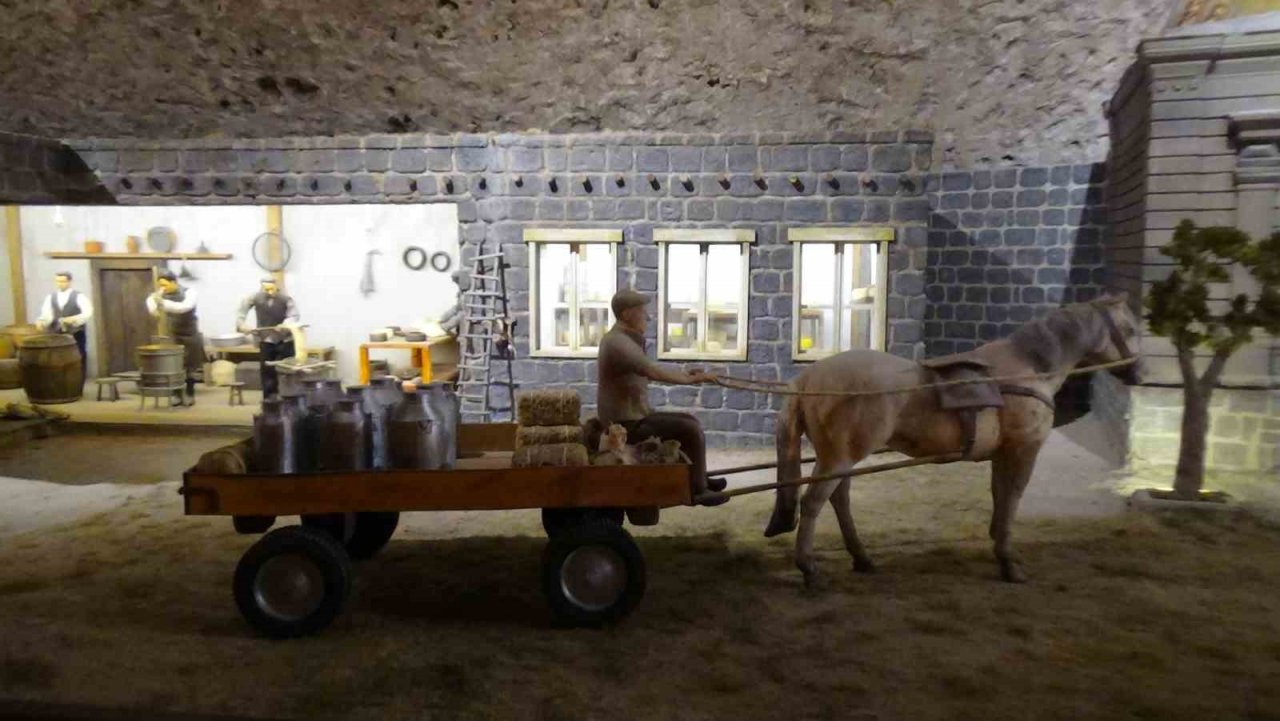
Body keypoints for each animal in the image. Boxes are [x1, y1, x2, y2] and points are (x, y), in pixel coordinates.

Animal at [757, 293, 1141, 586]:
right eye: (1131, 329)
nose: (1139, 372)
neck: (1030, 369)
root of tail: (808, 378)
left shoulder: (1002, 454)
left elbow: (1000, 497)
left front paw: (997, 544)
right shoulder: (1024, 450)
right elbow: (1012, 499)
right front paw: (1009, 562)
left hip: (840, 458)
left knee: (839, 501)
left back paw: (862, 558)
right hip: (838, 458)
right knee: (813, 503)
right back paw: (809, 568)